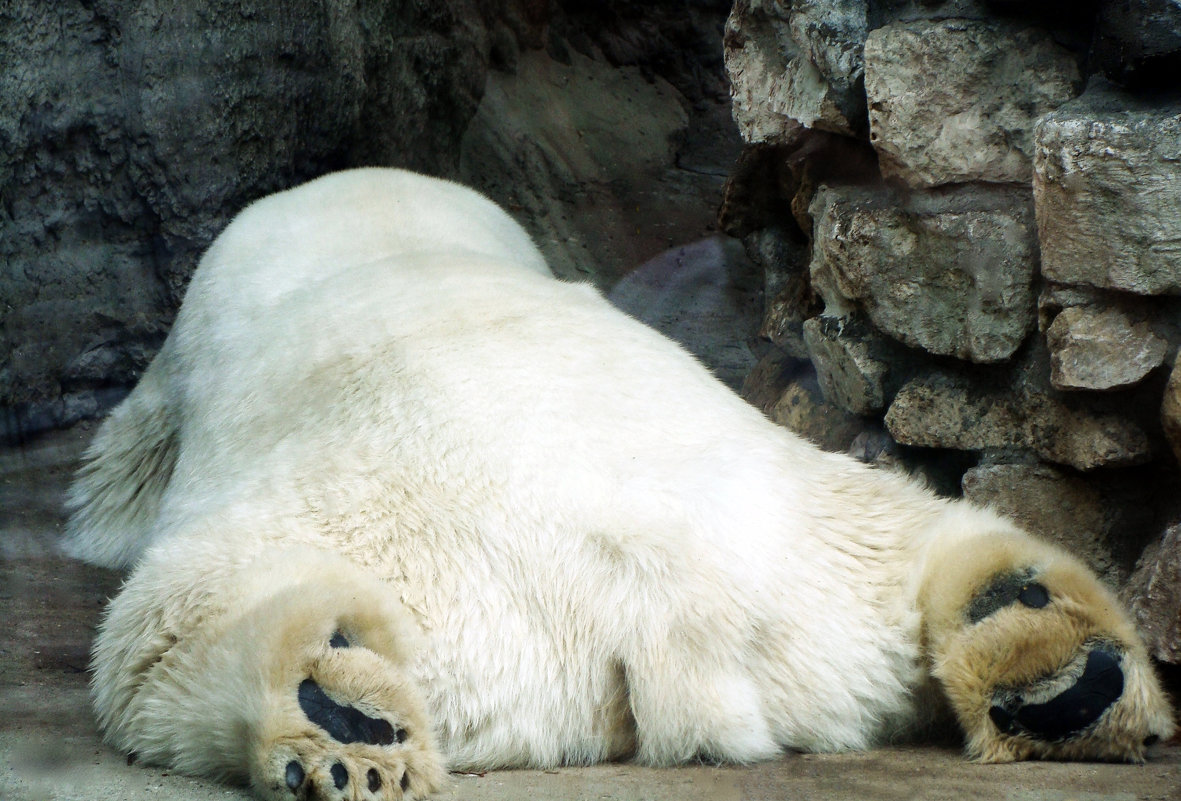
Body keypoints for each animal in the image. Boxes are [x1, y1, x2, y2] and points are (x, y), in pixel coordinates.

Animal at [64, 166, 1171, 798]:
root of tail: (656, 594)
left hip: (407, 566)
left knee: (175, 624)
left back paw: (339, 726)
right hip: (802, 541)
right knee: (910, 536)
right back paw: (1048, 655)